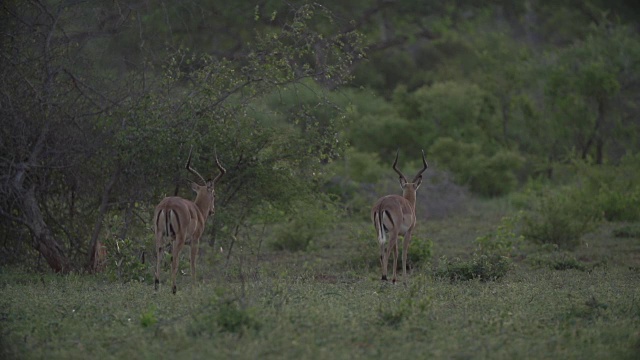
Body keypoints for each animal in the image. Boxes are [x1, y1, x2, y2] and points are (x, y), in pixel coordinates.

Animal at [154, 148, 226, 294]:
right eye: (214, 194)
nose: (212, 211)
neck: (197, 210)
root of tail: (167, 205)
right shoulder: (195, 240)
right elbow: (193, 262)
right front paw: (194, 286)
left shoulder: (173, 239)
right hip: (180, 238)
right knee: (174, 260)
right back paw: (174, 289)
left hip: (159, 235)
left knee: (159, 256)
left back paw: (157, 286)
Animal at [372, 150, 428, 284]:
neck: (409, 205)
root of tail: (382, 204)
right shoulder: (408, 233)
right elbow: (404, 254)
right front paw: (405, 281)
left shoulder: (397, 234)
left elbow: (396, 253)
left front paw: (394, 279)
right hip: (393, 232)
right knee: (387, 252)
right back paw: (384, 277)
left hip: (380, 232)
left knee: (381, 253)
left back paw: (385, 277)